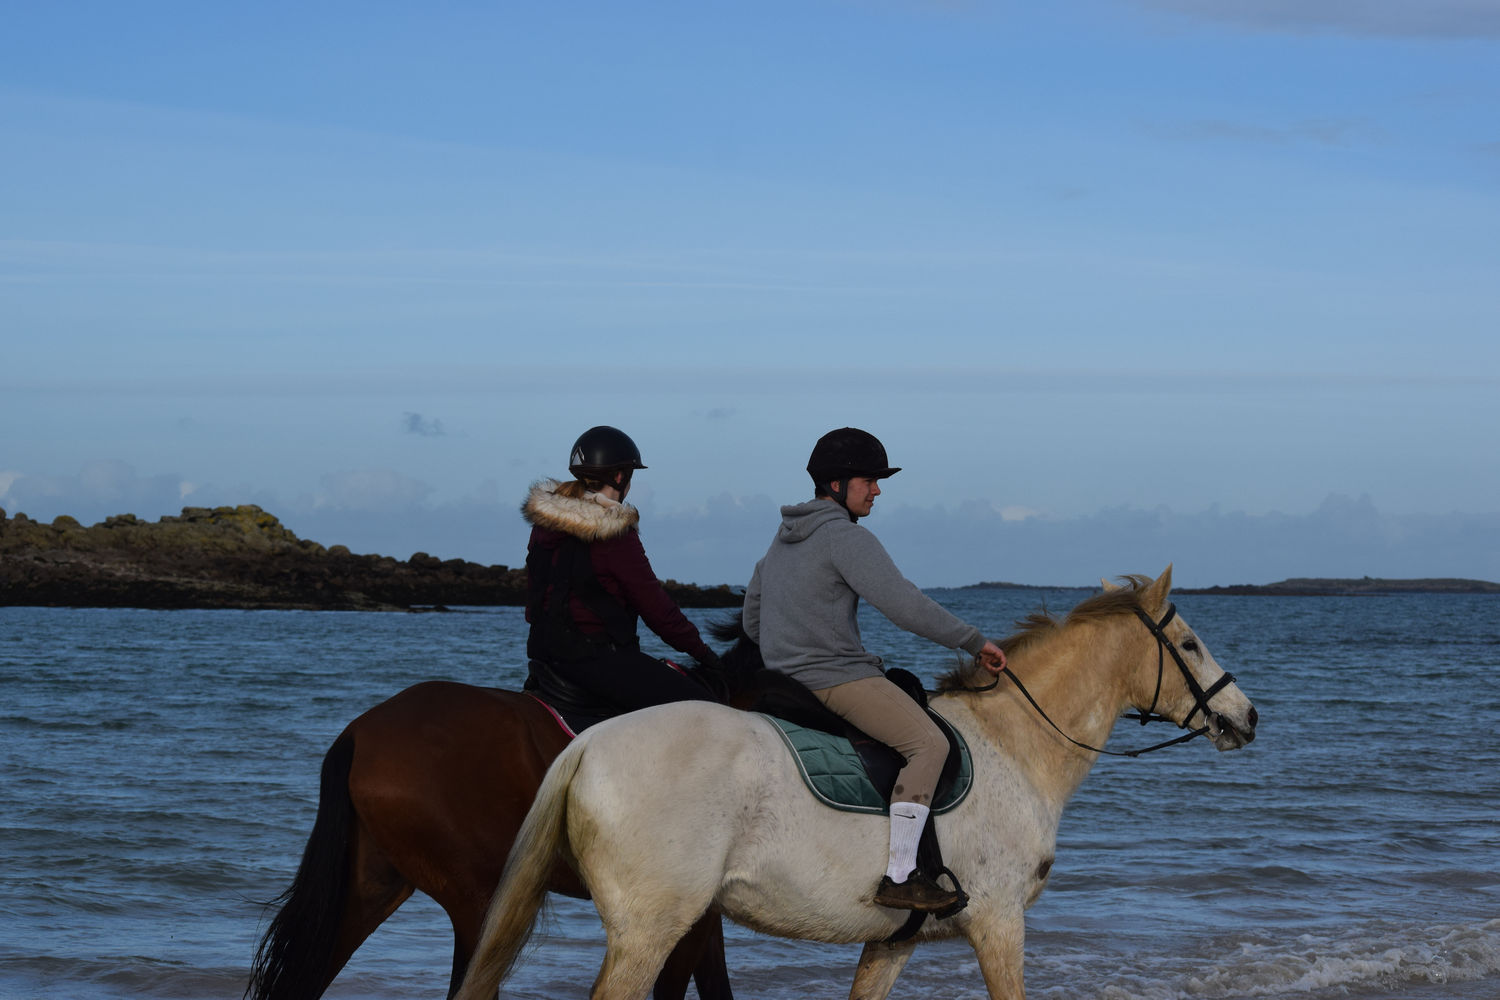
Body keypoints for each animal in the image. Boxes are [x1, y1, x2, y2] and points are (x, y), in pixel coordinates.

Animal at [453, 566, 1254, 995]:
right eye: (1189, 644)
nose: (1246, 718)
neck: (1012, 745)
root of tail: (590, 742)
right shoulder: (1000, 924)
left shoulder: (893, 940)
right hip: (651, 930)